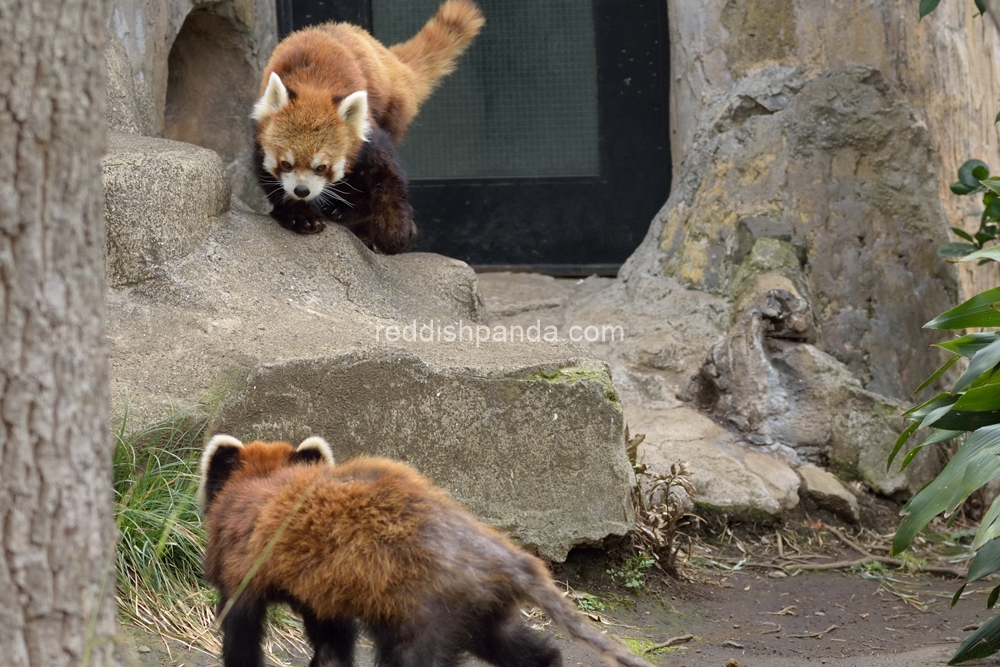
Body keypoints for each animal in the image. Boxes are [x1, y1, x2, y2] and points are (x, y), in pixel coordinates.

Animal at [199, 434, 660, 667]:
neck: (262, 483)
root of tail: (500, 553)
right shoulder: (324, 592)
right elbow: (333, 647)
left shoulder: (242, 569)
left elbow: (241, 635)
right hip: (477, 611)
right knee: (526, 649)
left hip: (424, 613)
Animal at [252, 1, 482, 252]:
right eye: (286, 164)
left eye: (322, 167)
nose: (302, 191)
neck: (312, 85)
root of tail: (391, 61)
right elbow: (270, 181)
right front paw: (299, 215)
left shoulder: (369, 134)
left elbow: (388, 175)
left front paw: (394, 232)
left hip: (392, 108)